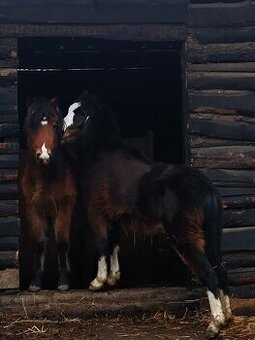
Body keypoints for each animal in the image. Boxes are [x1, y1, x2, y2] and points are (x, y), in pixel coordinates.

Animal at [22, 97, 76, 290]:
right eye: (31, 125)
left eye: (55, 125)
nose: (44, 156)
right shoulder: (33, 209)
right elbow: (39, 244)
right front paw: (35, 282)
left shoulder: (64, 207)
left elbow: (62, 243)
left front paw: (64, 281)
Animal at [62, 90, 232, 338]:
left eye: (80, 113)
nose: (61, 130)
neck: (101, 156)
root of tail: (206, 189)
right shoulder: (115, 217)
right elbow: (114, 245)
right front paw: (113, 279)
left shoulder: (97, 213)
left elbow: (102, 245)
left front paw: (97, 282)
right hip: (211, 235)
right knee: (221, 270)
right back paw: (228, 318)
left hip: (186, 237)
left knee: (209, 273)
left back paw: (215, 324)